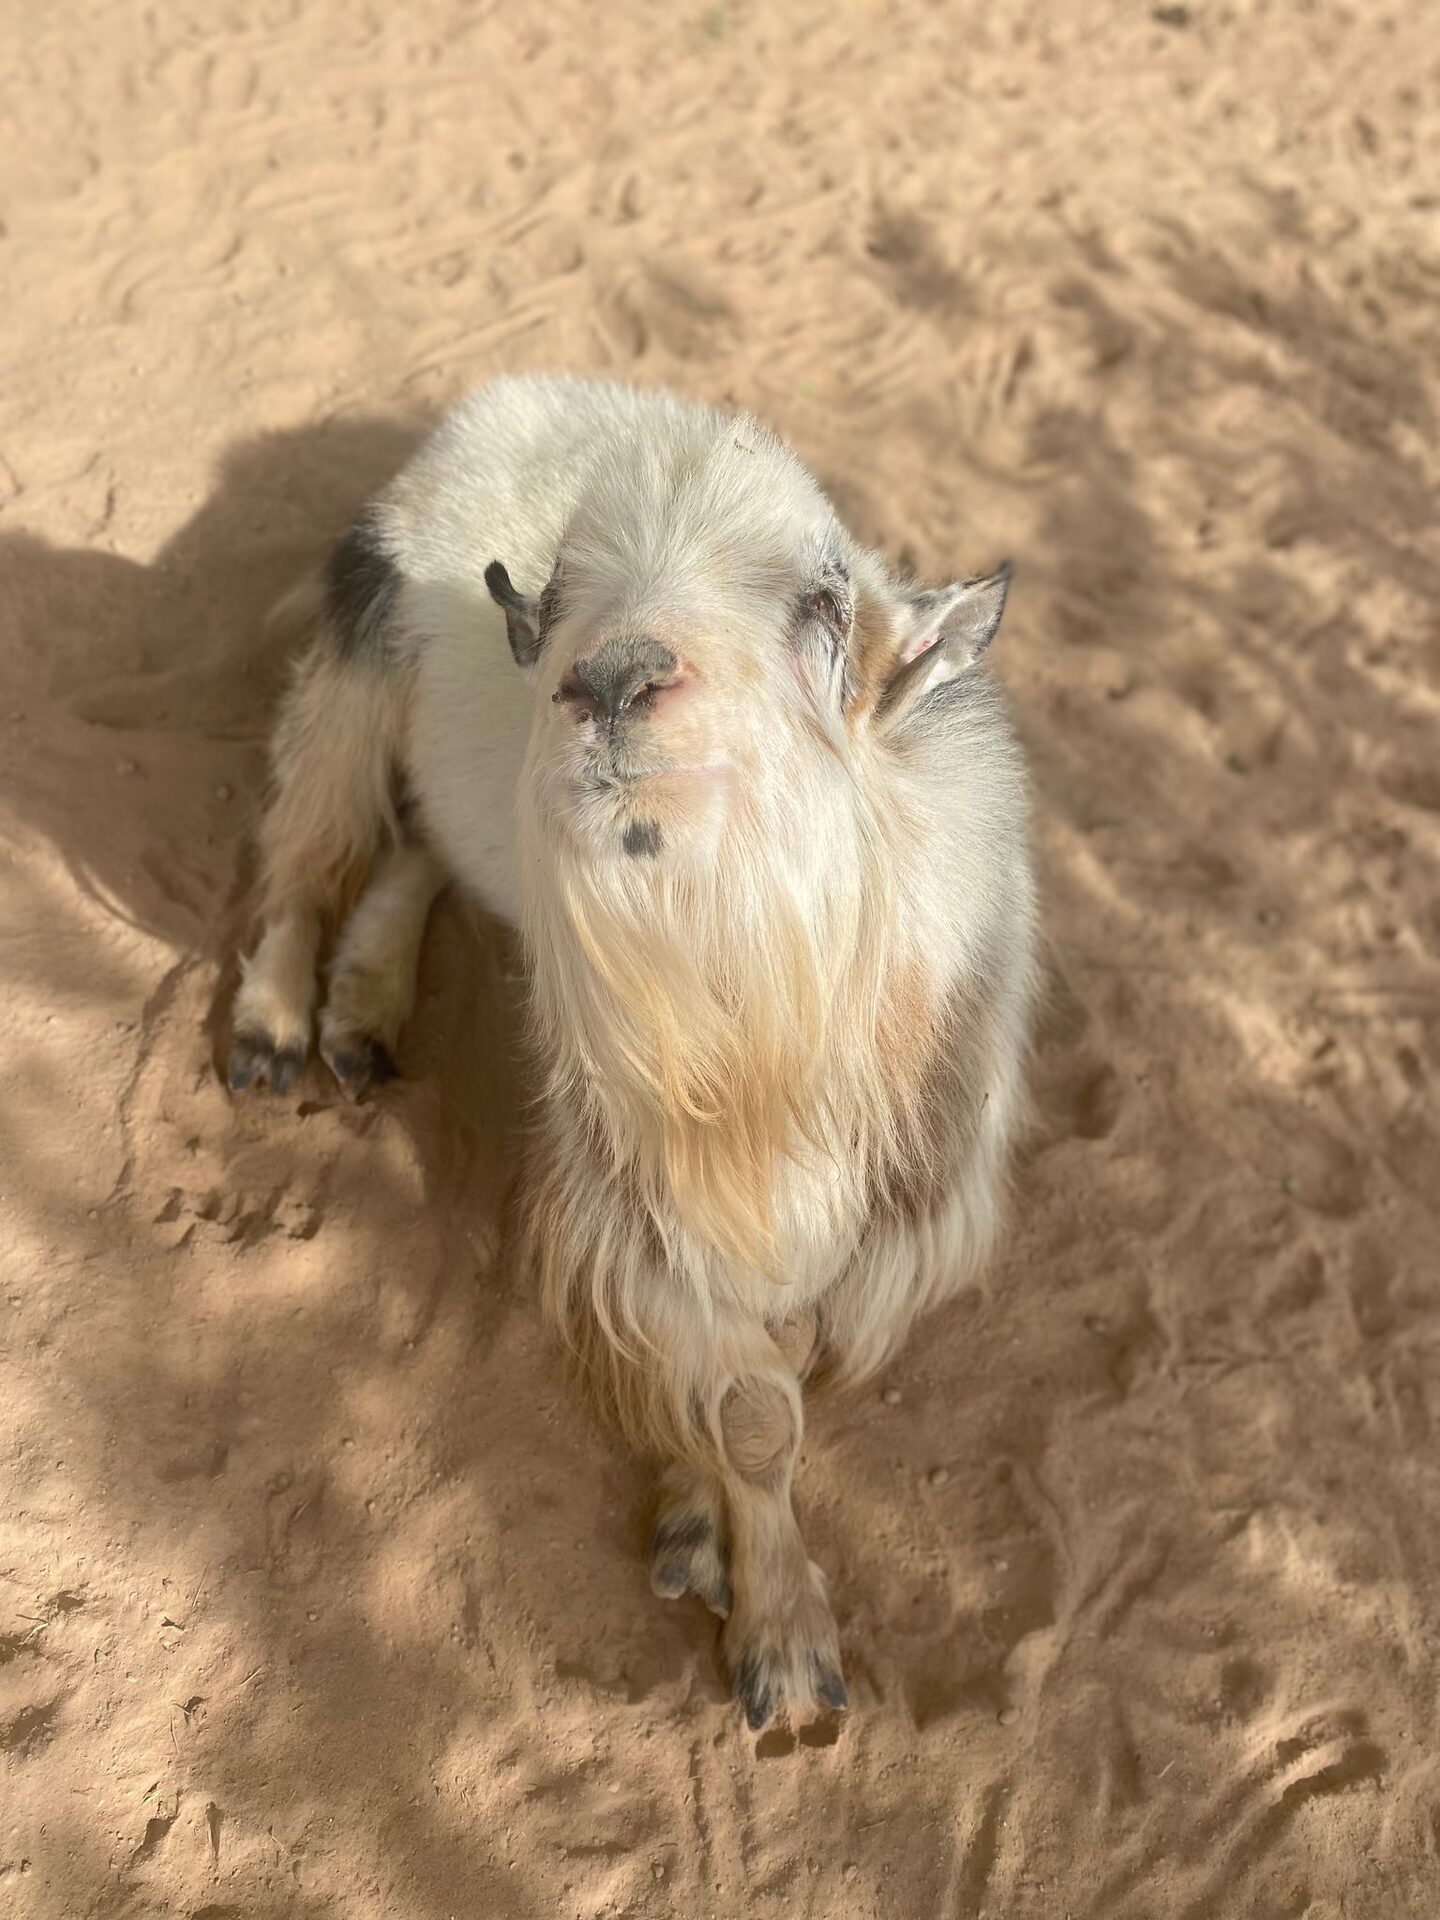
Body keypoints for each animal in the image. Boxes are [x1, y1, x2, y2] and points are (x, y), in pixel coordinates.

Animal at [228, 375, 1037, 1729]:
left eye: (824, 608)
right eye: (557, 601)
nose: (608, 681)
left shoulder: (889, 1208)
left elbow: (778, 1370)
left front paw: (706, 1544)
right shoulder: (634, 1189)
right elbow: (752, 1411)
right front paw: (783, 1649)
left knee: (420, 845)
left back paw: (363, 1011)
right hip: (354, 669)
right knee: (308, 849)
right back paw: (277, 1025)